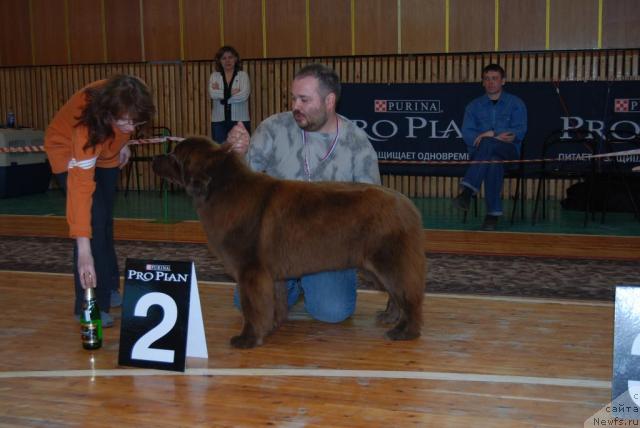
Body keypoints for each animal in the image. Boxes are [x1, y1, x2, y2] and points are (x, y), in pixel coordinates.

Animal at [152, 137, 424, 348]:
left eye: (175, 156)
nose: (154, 158)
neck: (221, 188)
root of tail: (407, 205)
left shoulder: (251, 270)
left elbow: (252, 306)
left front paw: (248, 338)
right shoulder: (270, 274)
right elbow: (272, 302)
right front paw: (271, 327)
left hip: (388, 261)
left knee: (409, 295)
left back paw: (405, 332)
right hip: (375, 266)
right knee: (396, 293)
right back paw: (389, 317)